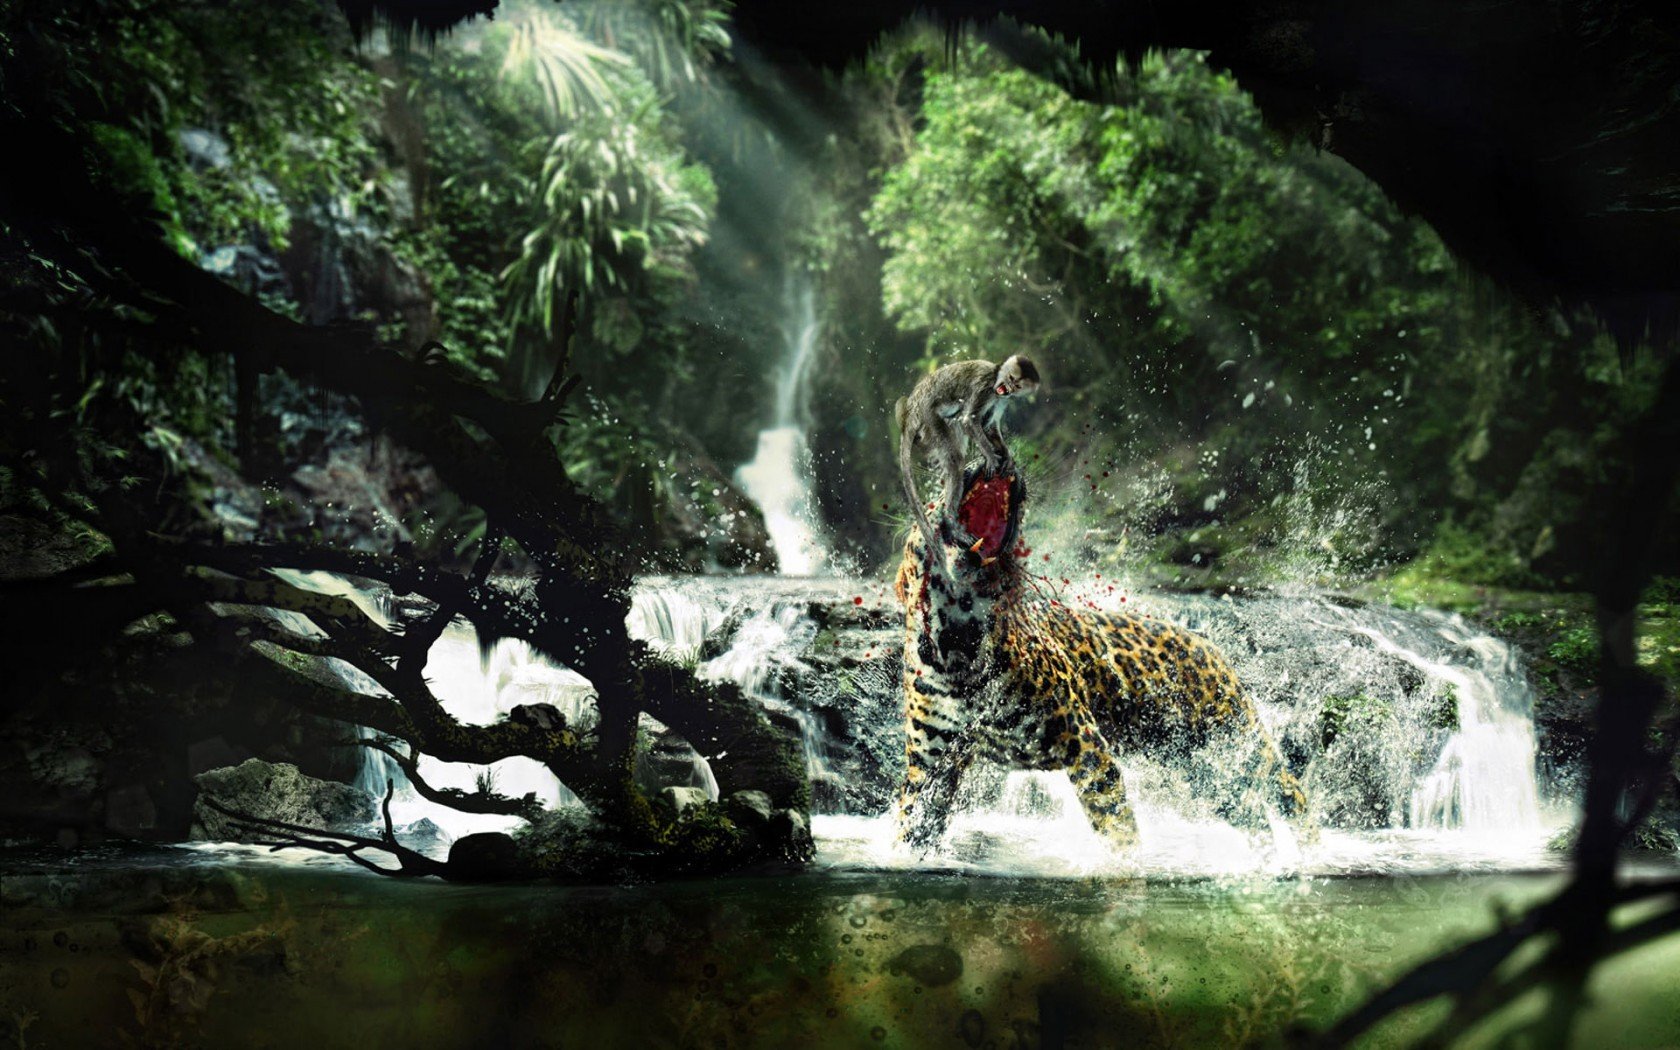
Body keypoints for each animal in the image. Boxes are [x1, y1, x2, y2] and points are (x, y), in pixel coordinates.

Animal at [891, 469, 1308, 853]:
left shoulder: (1083, 744)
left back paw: (1308, 854)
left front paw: (1127, 865)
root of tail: (1206, 644)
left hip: (1238, 736)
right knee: (1250, 813)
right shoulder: (930, 766)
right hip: (1199, 766)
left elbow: (1115, 822)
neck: (958, 645)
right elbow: (913, 823)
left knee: (1290, 794)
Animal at [895, 355, 1041, 549]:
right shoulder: (986, 386)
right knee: (955, 458)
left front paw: (1007, 457)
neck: (996, 374)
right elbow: (968, 421)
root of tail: (913, 406)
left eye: (1016, 386)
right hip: (928, 414)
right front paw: (990, 456)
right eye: (1010, 378)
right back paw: (951, 522)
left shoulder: (1001, 399)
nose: (1006, 389)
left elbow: (988, 426)